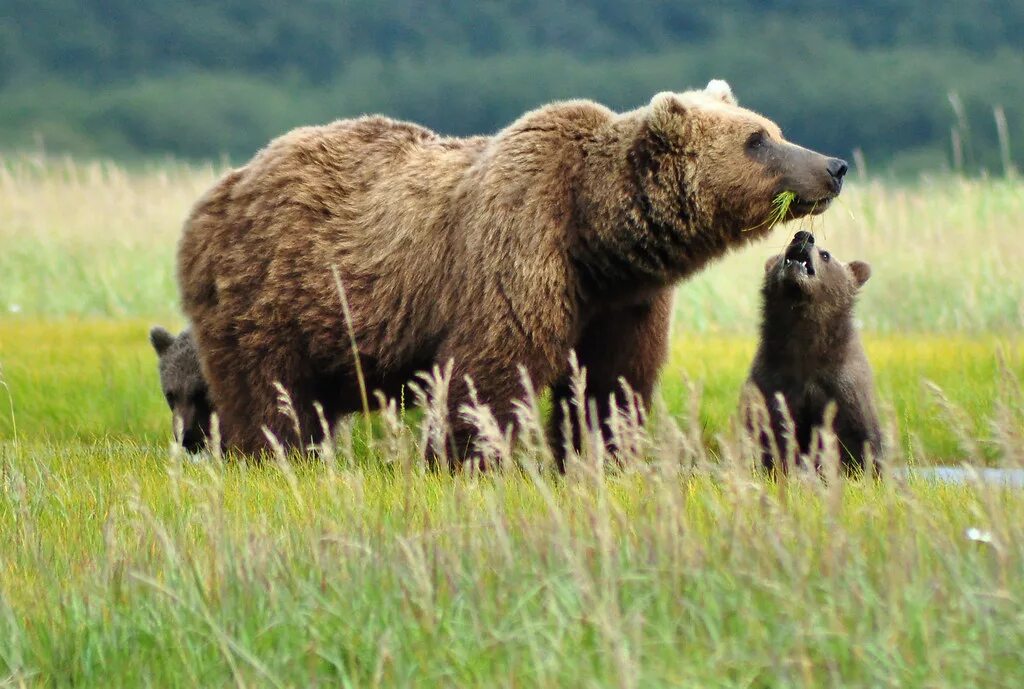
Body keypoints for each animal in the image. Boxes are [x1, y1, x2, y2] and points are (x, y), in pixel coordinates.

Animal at [178, 80, 847, 466]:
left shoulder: (626, 303)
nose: (834, 165)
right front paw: (468, 456)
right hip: (272, 289)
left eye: (773, 129)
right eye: (757, 139)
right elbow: (491, 369)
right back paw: (270, 455)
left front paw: (598, 453)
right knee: (269, 392)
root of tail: (217, 191)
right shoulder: (519, 247)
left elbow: (612, 382)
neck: (595, 240)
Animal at [745, 231, 880, 472]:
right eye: (783, 252)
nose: (803, 235)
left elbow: (861, 441)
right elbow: (769, 433)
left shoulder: (844, 387)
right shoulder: (773, 383)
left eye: (826, 254)